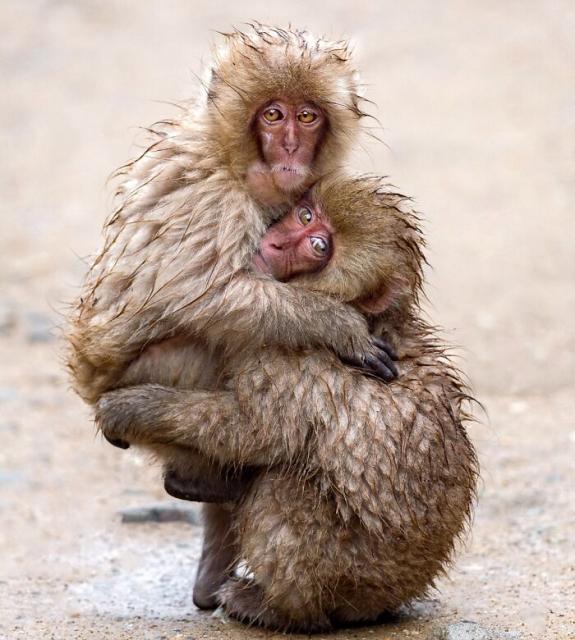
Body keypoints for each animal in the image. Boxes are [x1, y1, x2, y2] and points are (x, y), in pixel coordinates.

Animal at [95, 175, 479, 632]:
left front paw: (134, 407)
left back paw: (279, 608)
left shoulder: (283, 352)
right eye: (306, 215)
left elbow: (256, 432)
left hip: (349, 572)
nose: (277, 244)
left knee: (283, 486)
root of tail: (393, 595)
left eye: (318, 247)